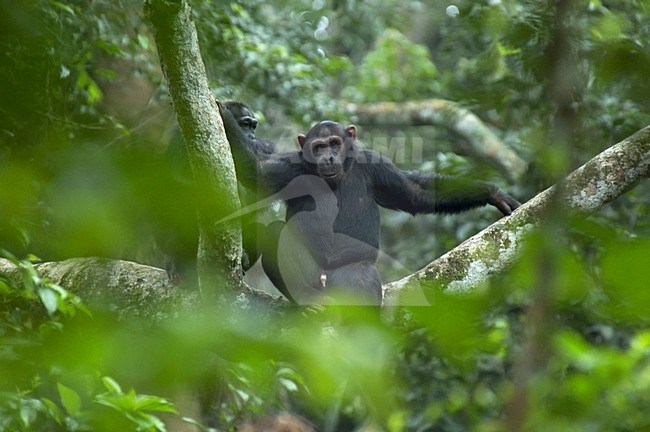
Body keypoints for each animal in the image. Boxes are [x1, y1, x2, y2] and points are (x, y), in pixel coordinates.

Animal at [220, 106, 520, 306]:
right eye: (318, 147)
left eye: (334, 143)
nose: (328, 157)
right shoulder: (288, 169)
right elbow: (256, 171)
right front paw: (225, 116)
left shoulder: (379, 168)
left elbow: (416, 194)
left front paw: (493, 193)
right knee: (275, 232)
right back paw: (307, 299)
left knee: (361, 275)